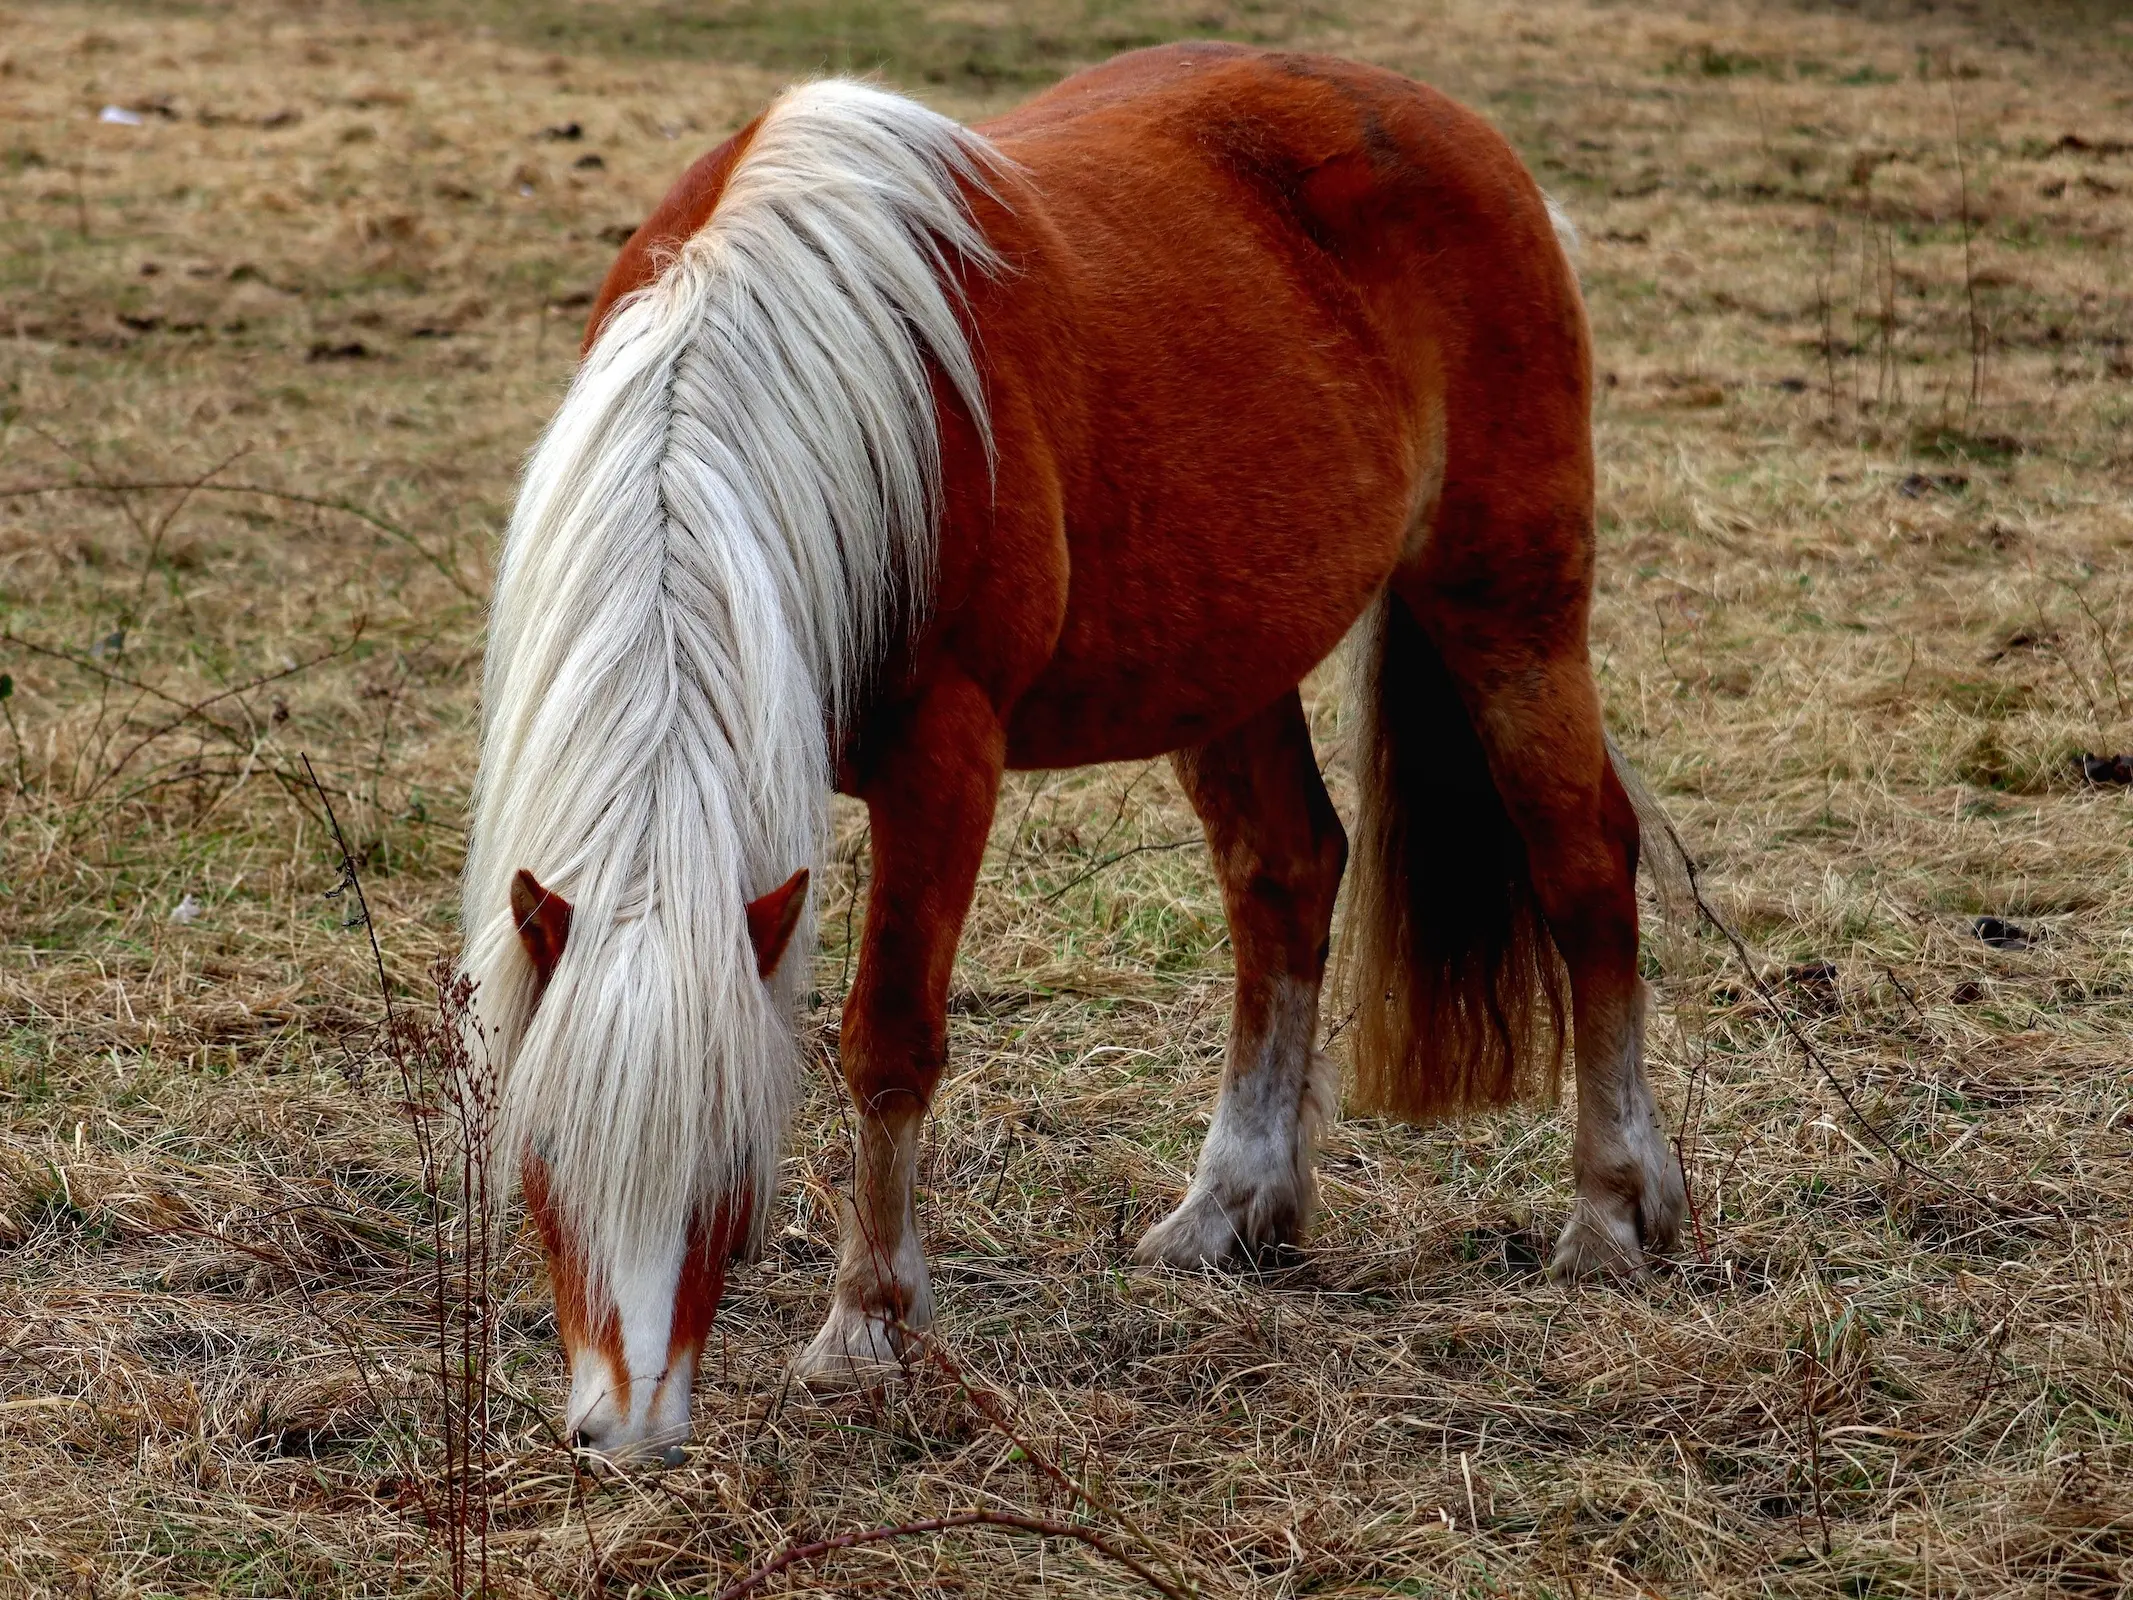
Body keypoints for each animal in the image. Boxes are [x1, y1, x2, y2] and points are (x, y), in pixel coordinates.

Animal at [462, 40, 1680, 1467]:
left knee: (1584, 861)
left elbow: (888, 1042)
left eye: (726, 1160)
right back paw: (1231, 1207)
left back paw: (1614, 1208)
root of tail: (1459, 132)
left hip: (1508, 610)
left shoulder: (945, 757)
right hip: (1230, 657)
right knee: (1287, 873)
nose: (628, 1429)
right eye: (543, 1155)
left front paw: (867, 1327)